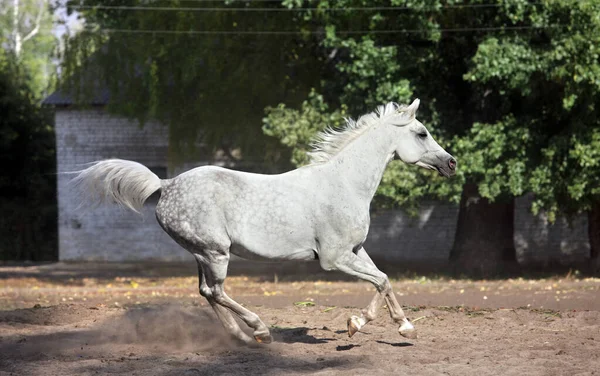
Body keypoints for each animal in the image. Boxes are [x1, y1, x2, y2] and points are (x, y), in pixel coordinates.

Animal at [74, 99, 454, 344]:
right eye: (422, 133)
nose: (451, 163)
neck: (345, 183)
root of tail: (166, 185)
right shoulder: (334, 259)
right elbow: (379, 281)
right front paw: (357, 324)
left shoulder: (355, 250)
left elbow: (383, 280)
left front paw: (403, 327)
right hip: (216, 252)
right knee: (217, 291)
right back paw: (259, 330)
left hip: (201, 254)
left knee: (206, 292)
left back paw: (241, 337)